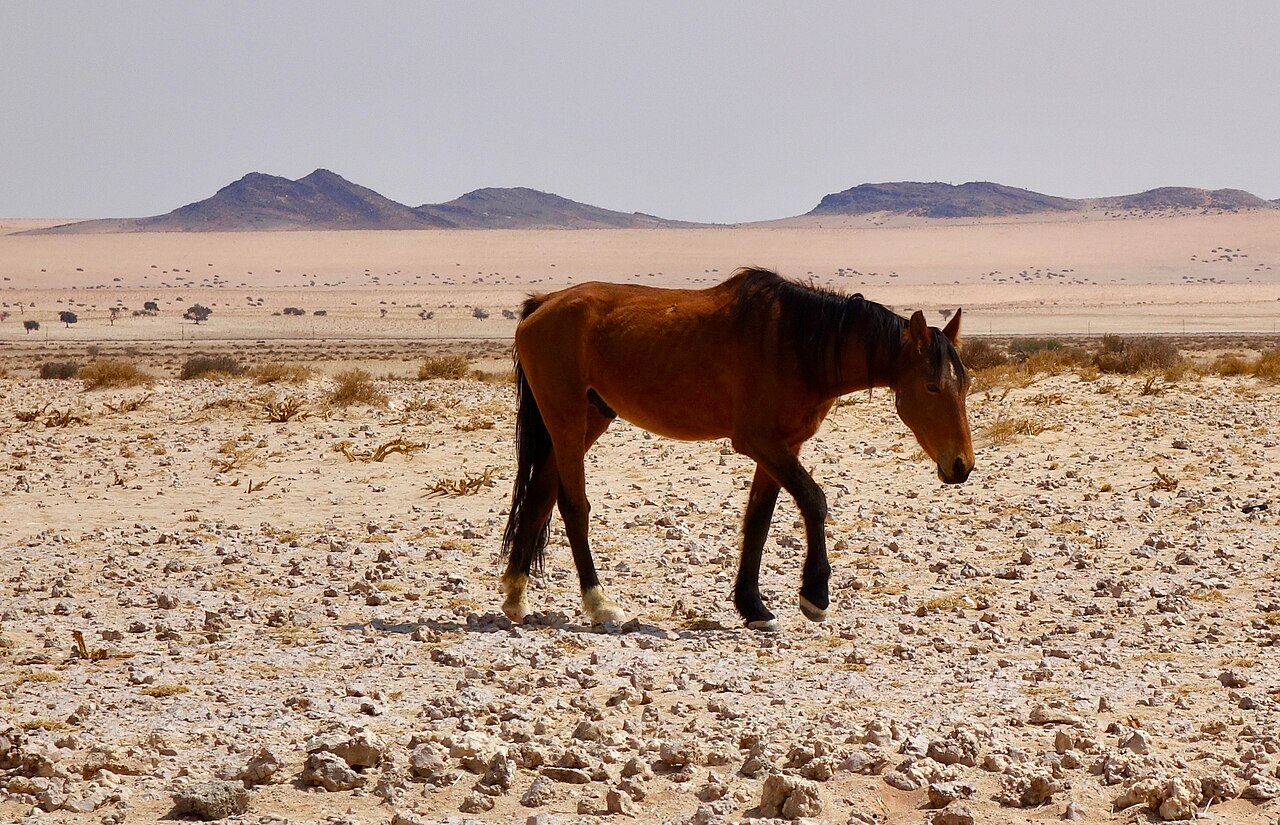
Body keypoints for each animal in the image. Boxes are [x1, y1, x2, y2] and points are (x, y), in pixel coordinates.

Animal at [499, 267, 973, 630]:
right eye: (932, 386)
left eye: (964, 383)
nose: (961, 465)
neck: (796, 343)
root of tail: (543, 304)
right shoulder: (760, 442)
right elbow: (814, 501)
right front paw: (814, 595)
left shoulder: (782, 447)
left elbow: (759, 521)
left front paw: (753, 606)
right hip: (566, 417)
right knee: (572, 504)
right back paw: (600, 604)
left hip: (589, 418)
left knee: (540, 494)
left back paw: (515, 597)